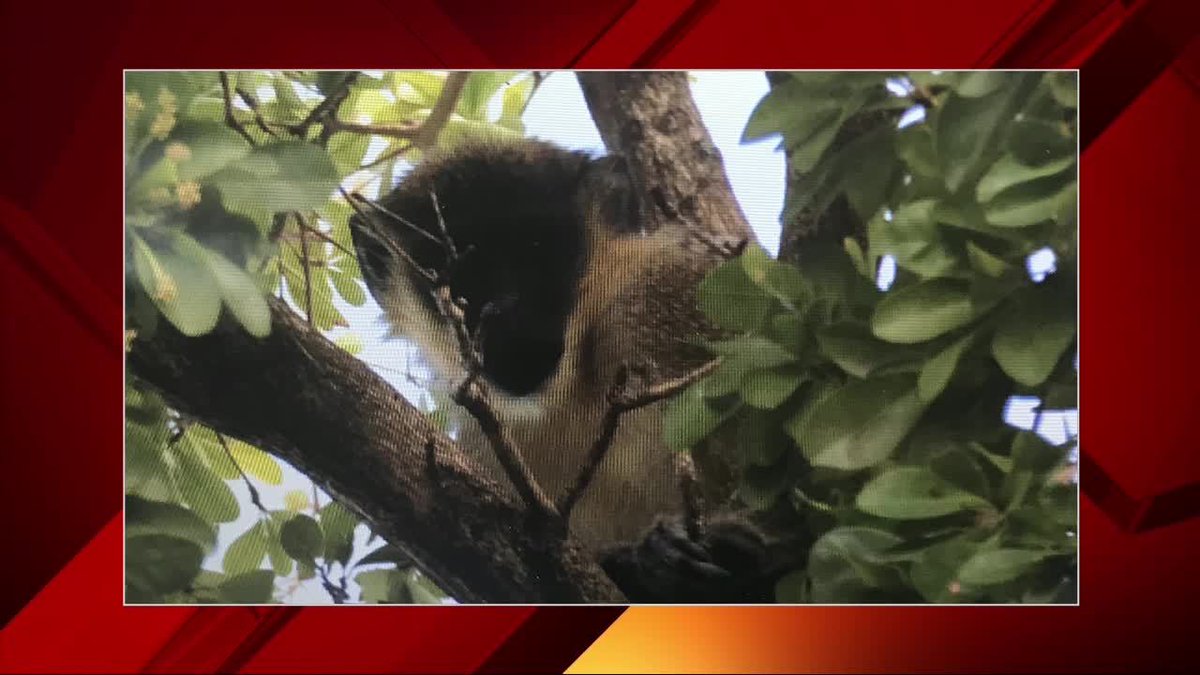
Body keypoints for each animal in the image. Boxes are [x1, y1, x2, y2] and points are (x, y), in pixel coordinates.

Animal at [348, 138, 804, 603]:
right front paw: (646, 563)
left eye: (538, 251)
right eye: (460, 276)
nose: (508, 317)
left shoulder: (667, 292)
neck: (578, 385)